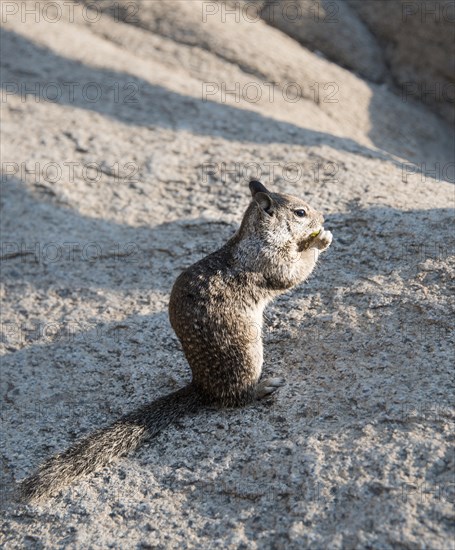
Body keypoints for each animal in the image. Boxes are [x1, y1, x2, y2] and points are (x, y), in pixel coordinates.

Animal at [19, 182, 334, 504]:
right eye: (300, 212)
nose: (322, 217)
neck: (257, 235)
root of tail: (201, 386)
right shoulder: (270, 261)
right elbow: (294, 272)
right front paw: (321, 240)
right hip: (246, 356)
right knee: (234, 399)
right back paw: (263, 387)